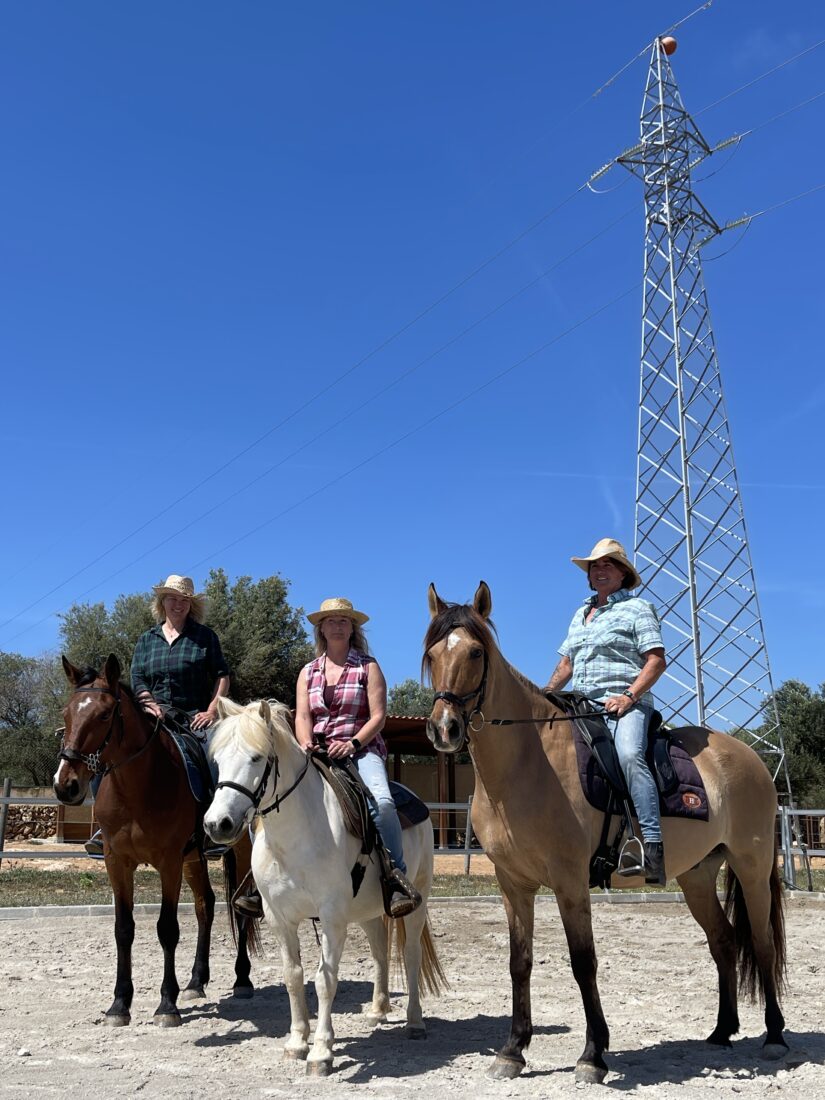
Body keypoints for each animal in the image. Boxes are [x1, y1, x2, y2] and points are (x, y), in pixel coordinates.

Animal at [53, 651, 259, 1020]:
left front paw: (167, 1003)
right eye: (66, 714)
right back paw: (196, 981)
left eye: (104, 714)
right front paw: (119, 1004)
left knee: (239, 908)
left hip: (240, 852)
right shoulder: (117, 862)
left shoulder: (168, 862)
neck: (138, 787)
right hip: (193, 859)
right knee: (205, 906)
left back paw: (242, 979)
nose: (66, 785)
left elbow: (167, 928)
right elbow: (123, 929)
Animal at [202, 695, 446, 1073]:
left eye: (256, 757)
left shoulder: (332, 917)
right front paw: (296, 1042)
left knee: (410, 954)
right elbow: (293, 976)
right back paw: (378, 1010)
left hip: (416, 901)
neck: (297, 835)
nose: (217, 824)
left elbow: (324, 980)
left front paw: (320, 1051)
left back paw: (415, 1022)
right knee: (379, 950)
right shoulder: (279, 917)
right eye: (217, 760)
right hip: (366, 911)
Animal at [422, 585, 792, 1082]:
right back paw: (720, 1031)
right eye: (432, 653)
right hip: (697, 876)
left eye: (476, 652)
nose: (444, 728)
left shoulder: (570, 881)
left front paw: (592, 1055)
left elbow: (584, 963)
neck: (527, 763)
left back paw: (774, 1036)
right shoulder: (512, 884)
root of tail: (751, 758)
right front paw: (513, 1051)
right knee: (724, 942)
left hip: (751, 867)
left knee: (763, 944)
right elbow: (520, 962)